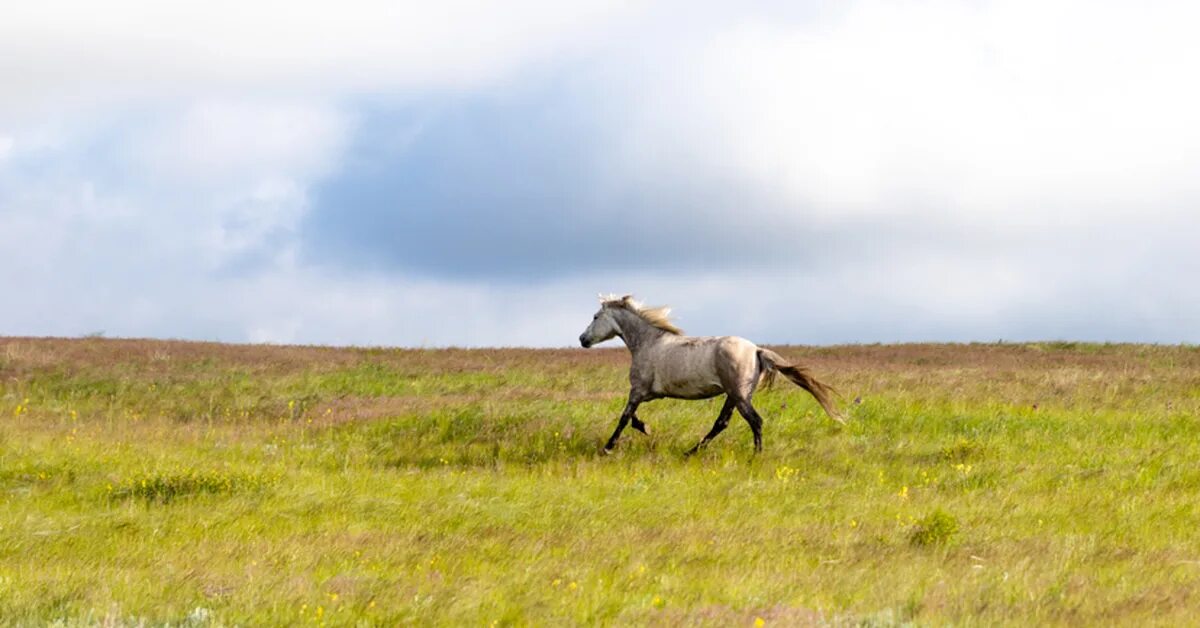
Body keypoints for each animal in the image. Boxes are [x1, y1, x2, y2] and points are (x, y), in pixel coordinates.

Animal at [576, 292, 840, 453]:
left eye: (596, 317)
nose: (582, 339)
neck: (648, 342)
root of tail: (756, 350)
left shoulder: (638, 390)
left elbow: (624, 417)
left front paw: (608, 448)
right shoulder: (647, 393)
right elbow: (631, 416)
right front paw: (644, 427)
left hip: (739, 395)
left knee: (755, 421)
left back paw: (756, 455)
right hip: (734, 396)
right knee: (721, 423)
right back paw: (691, 452)